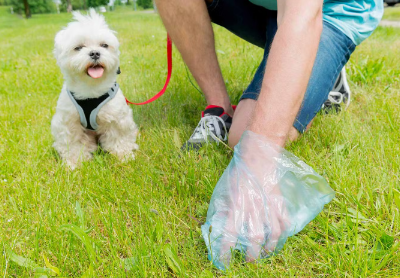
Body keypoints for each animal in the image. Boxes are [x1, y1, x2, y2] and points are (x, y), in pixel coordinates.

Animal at [50, 9, 138, 169]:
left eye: (104, 45)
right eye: (78, 47)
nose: (95, 53)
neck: (91, 89)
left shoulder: (117, 117)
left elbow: (119, 138)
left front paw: (124, 156)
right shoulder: (68, 122)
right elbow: (72, 143)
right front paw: (74, 163)